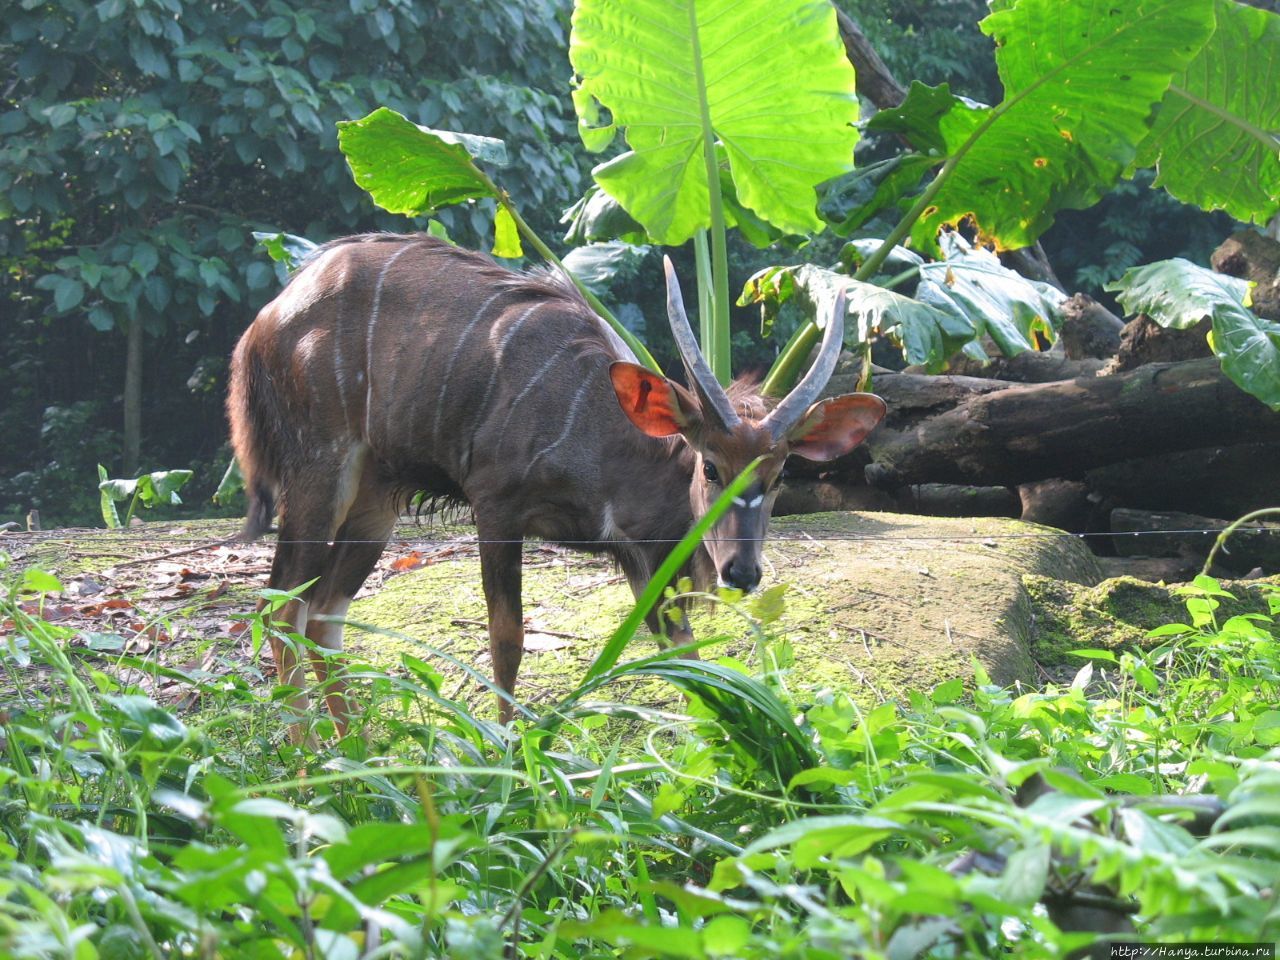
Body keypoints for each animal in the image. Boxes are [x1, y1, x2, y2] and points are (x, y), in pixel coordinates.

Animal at [230, 235, 885, 737]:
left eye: (779, 476)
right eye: (710, 467)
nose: (742, 572)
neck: (607, 441)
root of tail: (266, 319)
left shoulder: (641, 563)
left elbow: (686, 655)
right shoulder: (496, 507)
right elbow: (508, 637)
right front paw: (505, 754)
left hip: (376, 498)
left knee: (322, 614)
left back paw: (358, 755)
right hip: (320, 472)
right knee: (279, 607)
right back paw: (311, 758)